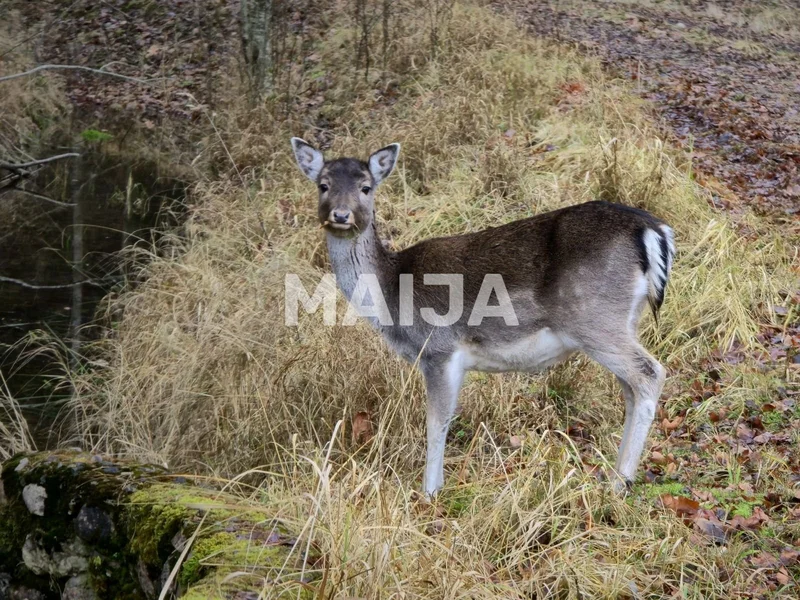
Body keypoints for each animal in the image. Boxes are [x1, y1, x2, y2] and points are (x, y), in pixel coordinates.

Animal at [290, 138, 675, 497]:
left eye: (366, 187)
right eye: (323, 184)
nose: (341, 215)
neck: (392, 293)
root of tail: (654, 231)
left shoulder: (439, 348)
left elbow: (436, 422)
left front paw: (429, 493)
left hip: (595, 319)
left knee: (650, 372)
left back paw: (620, 482)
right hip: (624, 320)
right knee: (630, 387)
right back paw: (614, 476)